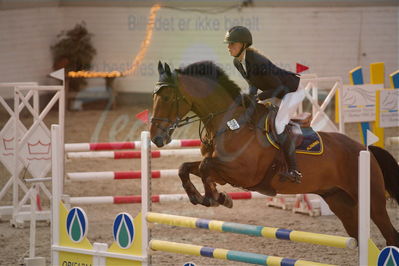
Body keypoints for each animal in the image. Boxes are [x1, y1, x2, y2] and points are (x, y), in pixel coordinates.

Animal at [151, 60, 399, 247]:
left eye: (167, 98)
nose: (156, 138)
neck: (230, 124)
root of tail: (365, 149)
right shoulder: (221, 170)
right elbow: (186, 168)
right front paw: (205, 196)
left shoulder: (243, 173)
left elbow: (204, 168)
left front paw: (214, 198)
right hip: (340, 201)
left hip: (373, 201)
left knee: (390, 235)